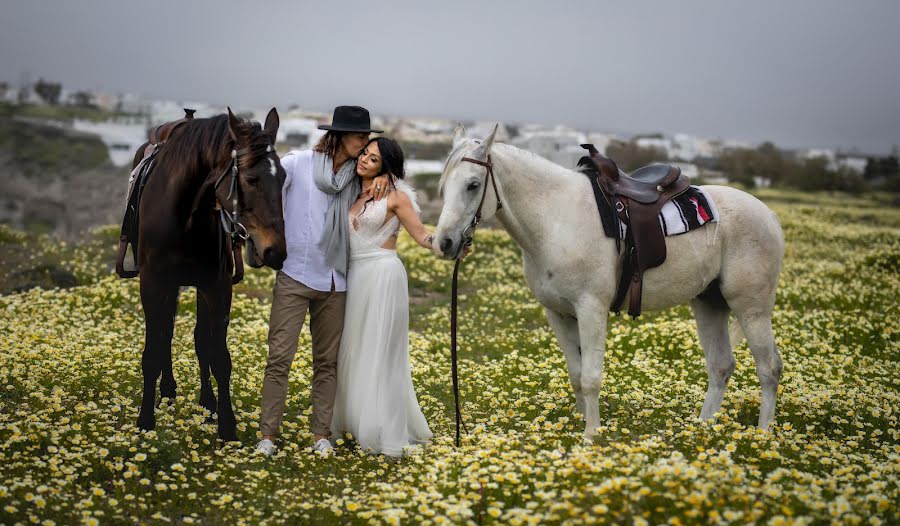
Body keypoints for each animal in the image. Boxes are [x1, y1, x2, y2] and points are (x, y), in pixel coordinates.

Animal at [133, 108, 284, 442]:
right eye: (251, 178)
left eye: (283, 178)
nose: (276, 251)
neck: (185, 215)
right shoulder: (152, 284)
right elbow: (152, 351)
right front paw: (145, 421)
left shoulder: (217, 287)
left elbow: (218, 356)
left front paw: (226, 425)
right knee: (167, 333)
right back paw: (168, 393)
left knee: (199, 339)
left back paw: (206, 405)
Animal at [432, 126, 784, 444]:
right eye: (444, 186)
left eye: (473, 185)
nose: (444, 243)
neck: (556, 221)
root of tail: (768, 214)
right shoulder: (558, 314)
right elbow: (576, 375)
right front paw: (578, 425)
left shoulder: (591, 309)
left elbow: (590, 376)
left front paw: (591, 435)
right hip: (709, 302)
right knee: (721, 366)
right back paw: (703, 428)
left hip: (751, 308)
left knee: (769, 367)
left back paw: (763, 435)